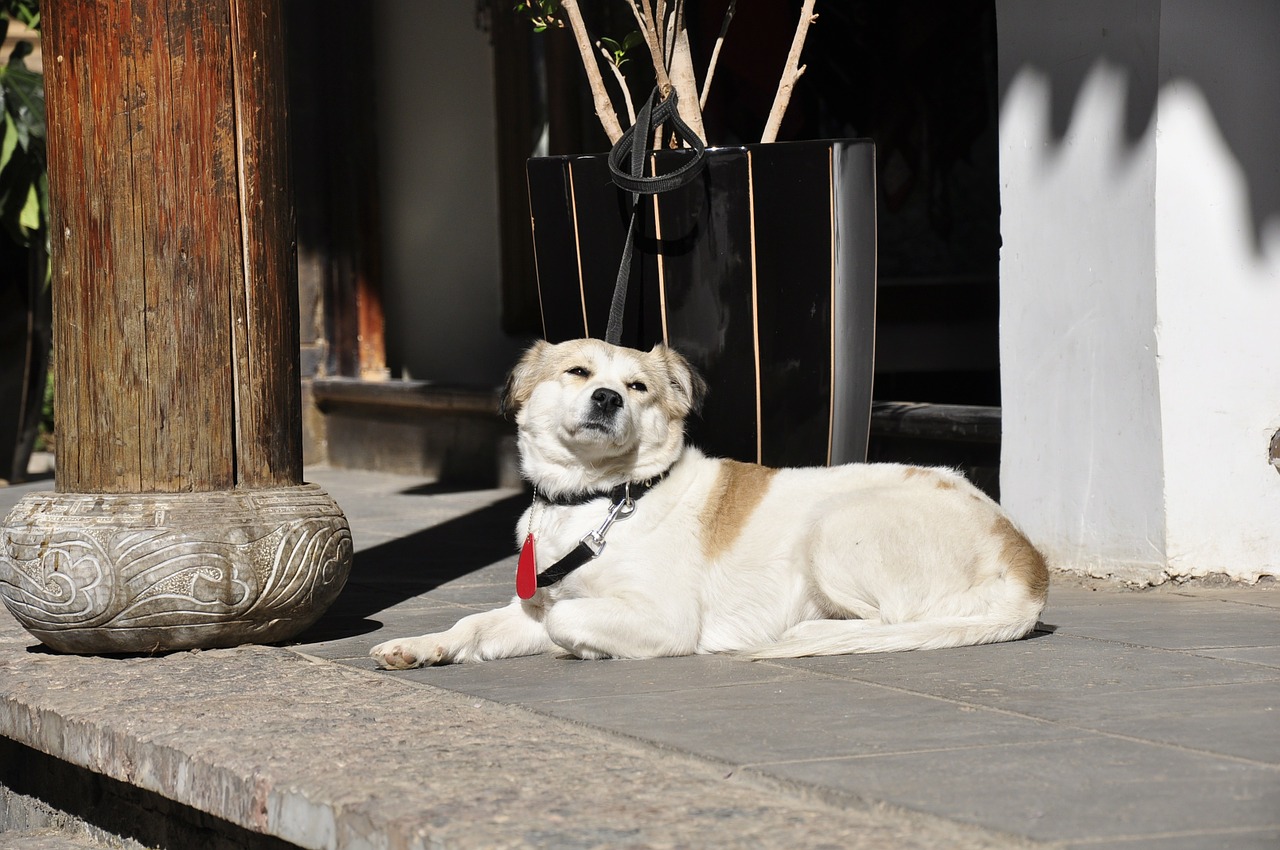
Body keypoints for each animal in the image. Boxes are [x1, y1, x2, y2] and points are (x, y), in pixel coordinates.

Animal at [366, 340, 1044, 670]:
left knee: (890, 621)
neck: (601, 499)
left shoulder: (663, 617)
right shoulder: (529, 605)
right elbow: (474, 626)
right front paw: (422, 645)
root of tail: (1025, 560)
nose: (609, 397)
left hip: (832, 528)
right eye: (578, 372)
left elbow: (567, 621)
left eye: (637, 386)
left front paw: (581, 648)